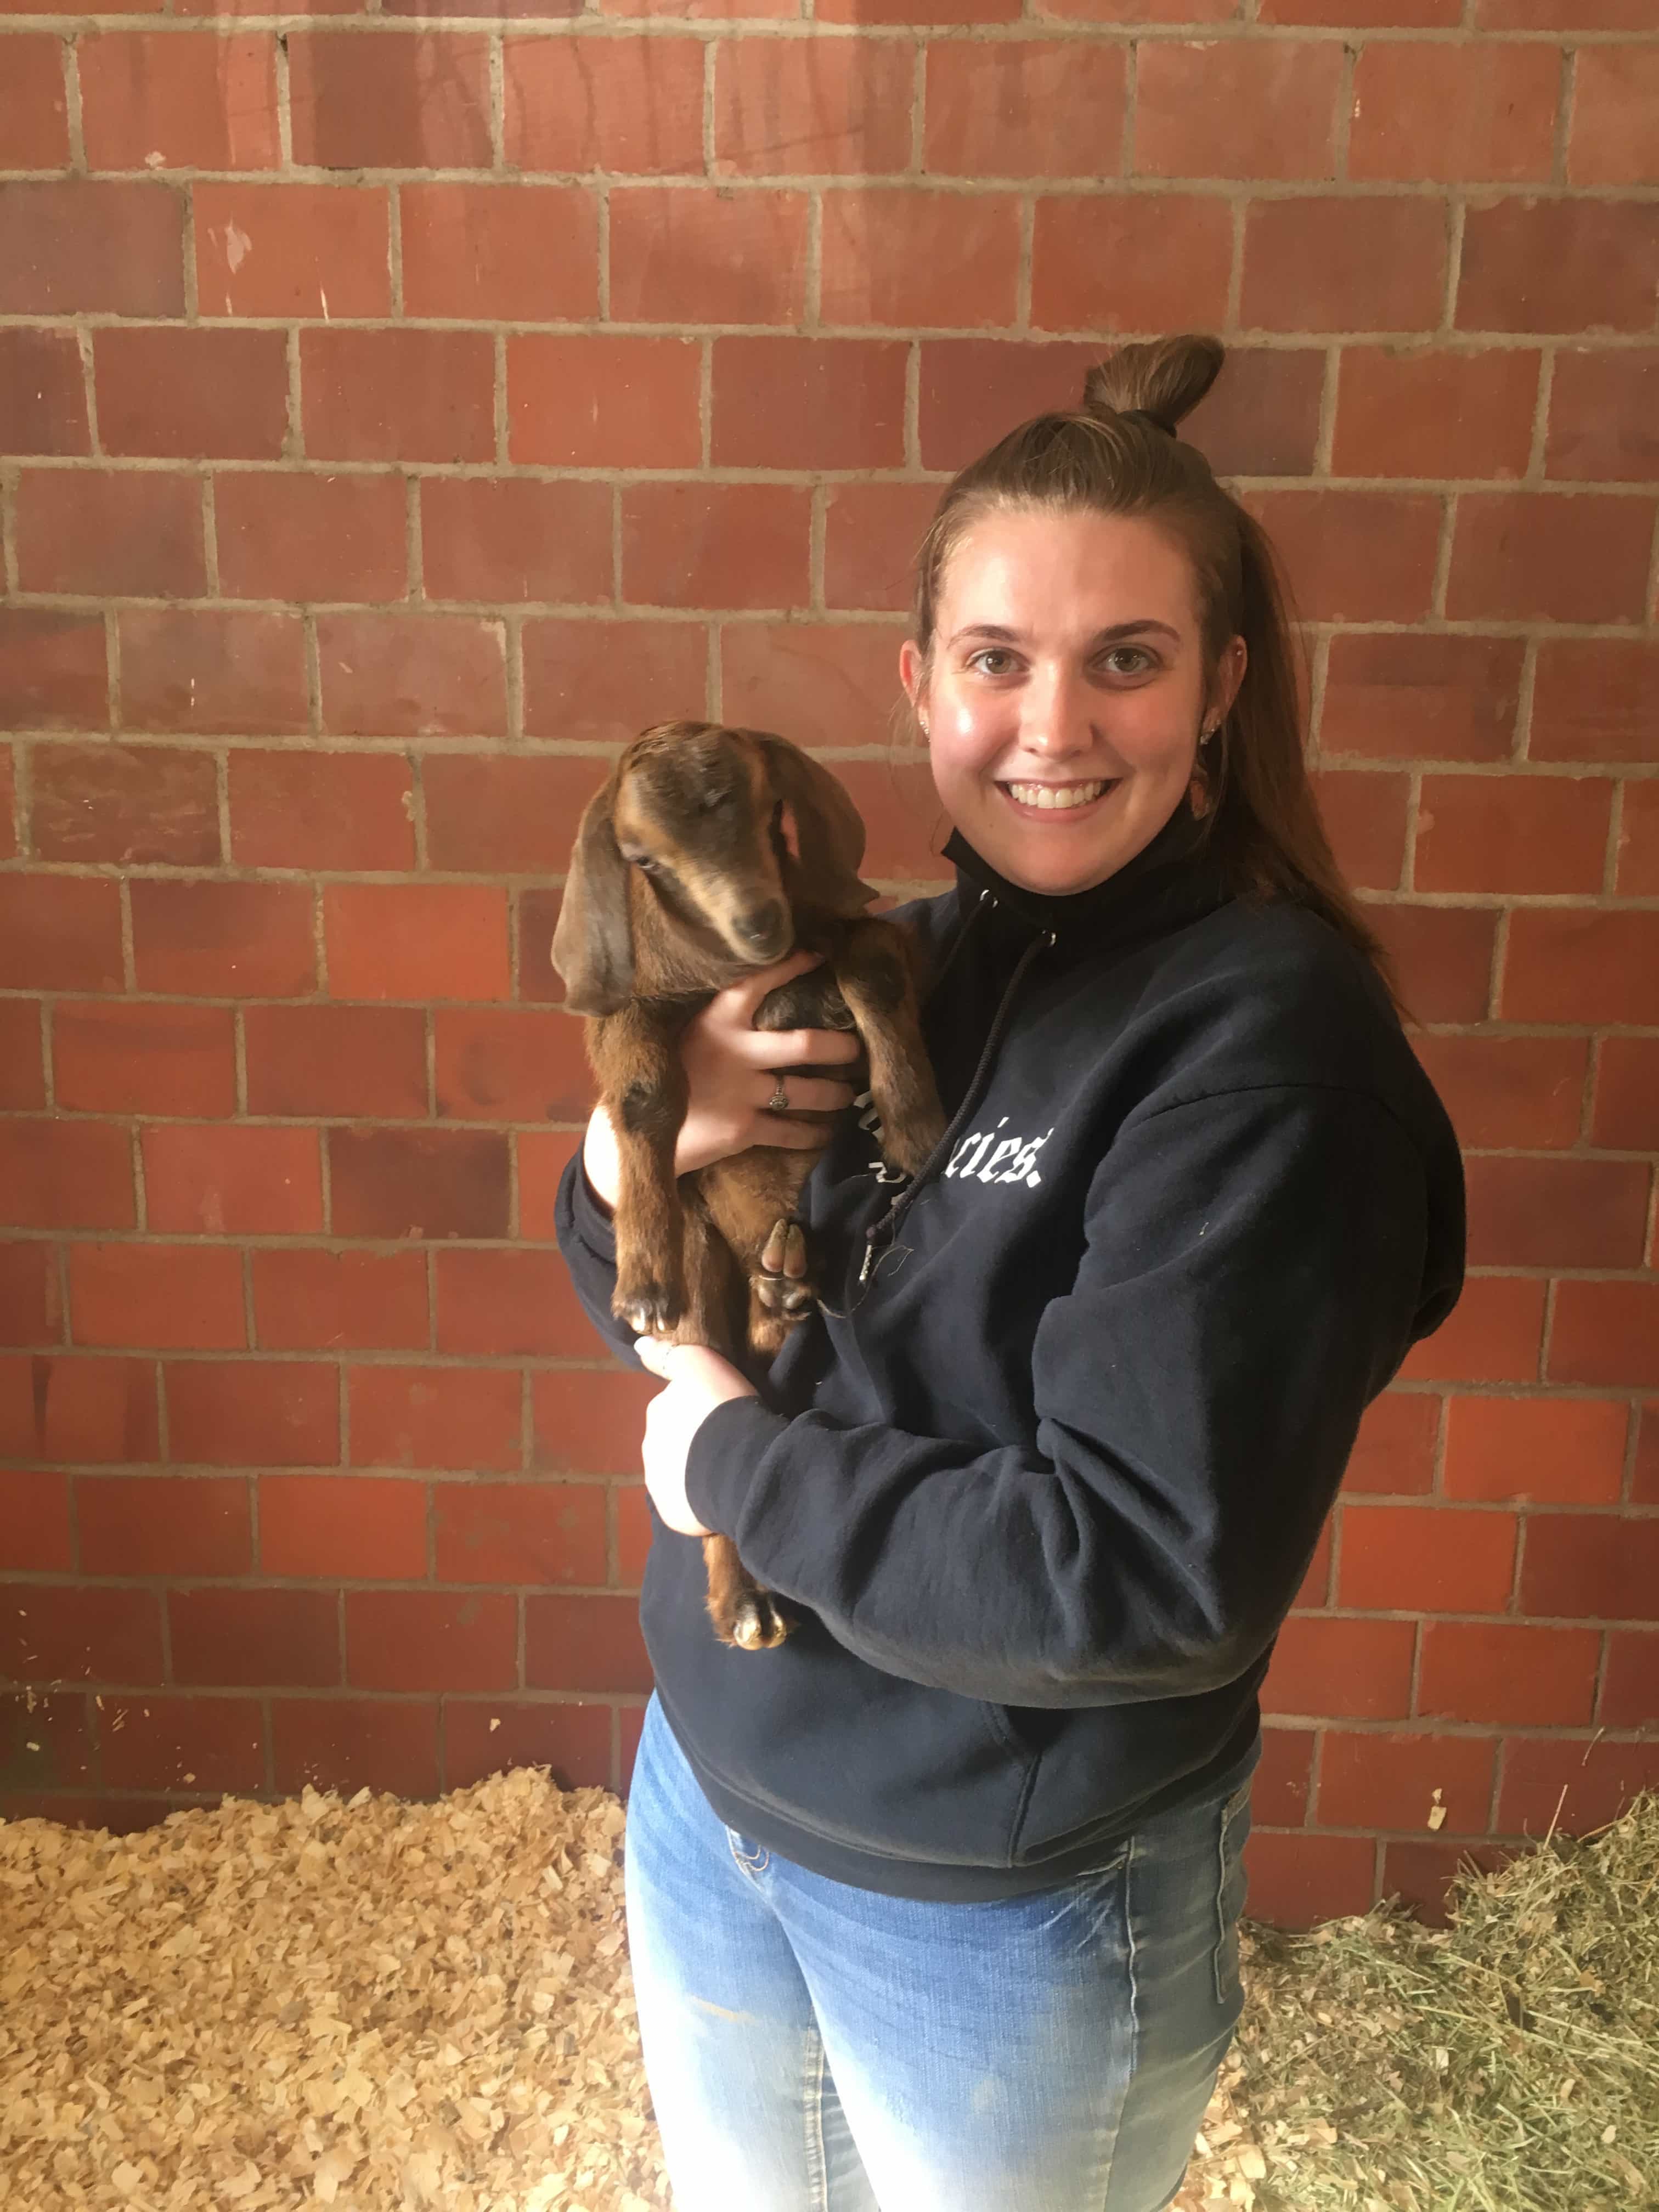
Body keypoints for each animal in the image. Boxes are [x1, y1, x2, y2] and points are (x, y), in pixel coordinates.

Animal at [555, 716, 946, 1654]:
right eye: (642, 859)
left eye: (765, 805)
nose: (760, 924)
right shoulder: (630, 1010)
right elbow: (645, 1090)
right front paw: (642, 1280)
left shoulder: (861, 933)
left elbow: (874, 966)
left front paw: (912, 1120)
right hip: (707, 1284)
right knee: (716, 1413)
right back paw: (745, 1605)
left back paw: (785, 1284)